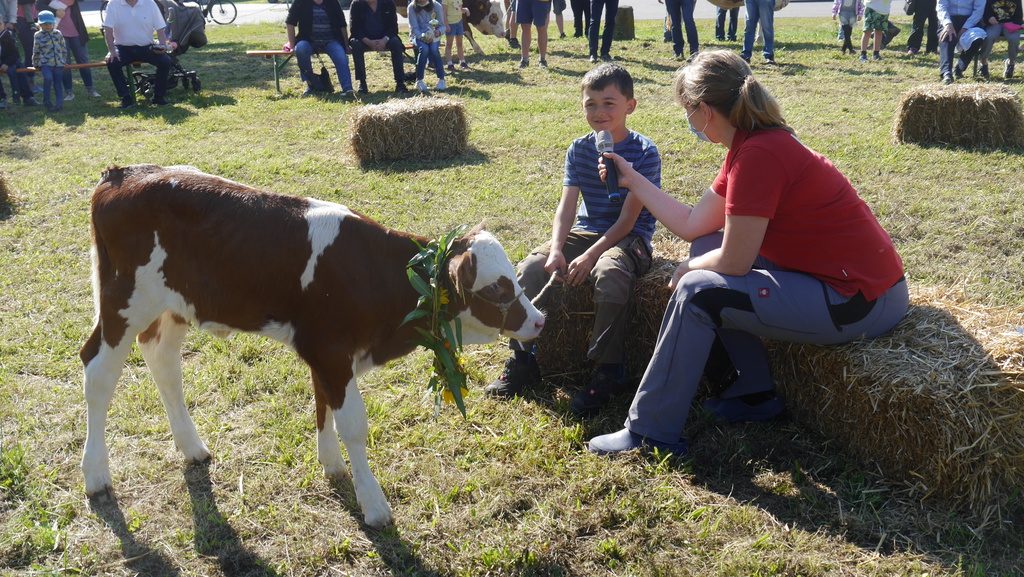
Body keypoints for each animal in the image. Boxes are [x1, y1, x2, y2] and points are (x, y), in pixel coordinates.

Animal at [79, 163, 544, 528]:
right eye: (497, 288)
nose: (539, 320)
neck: (379, 275)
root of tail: (123, 174)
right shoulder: (332, 351)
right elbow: (353, 424)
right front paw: (373, 503)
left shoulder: (324, 351)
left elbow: (323, 405)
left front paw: (332, 466)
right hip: (123, 301)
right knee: (98, 371)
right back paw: (95, 475)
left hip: (173, 307)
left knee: (163, 362)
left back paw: (191, 447)